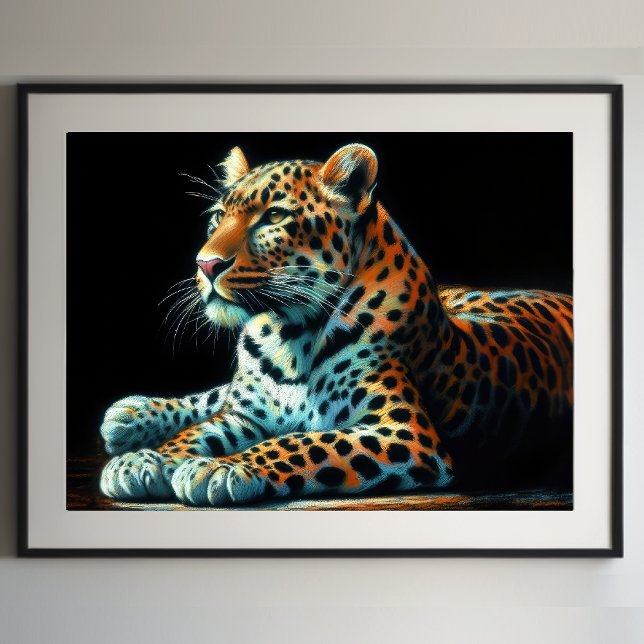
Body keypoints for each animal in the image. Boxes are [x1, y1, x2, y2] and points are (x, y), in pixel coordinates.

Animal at [99, 143, 573, 506]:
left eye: (274, 218)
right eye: (218, 217)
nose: (205, 264)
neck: (284, 335)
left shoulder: (403, 431)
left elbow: (300, 443)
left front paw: (221, 468)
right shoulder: (246, 415)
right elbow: (199, 429)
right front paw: (145, 460)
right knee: (221, 393)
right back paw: (130, 415)